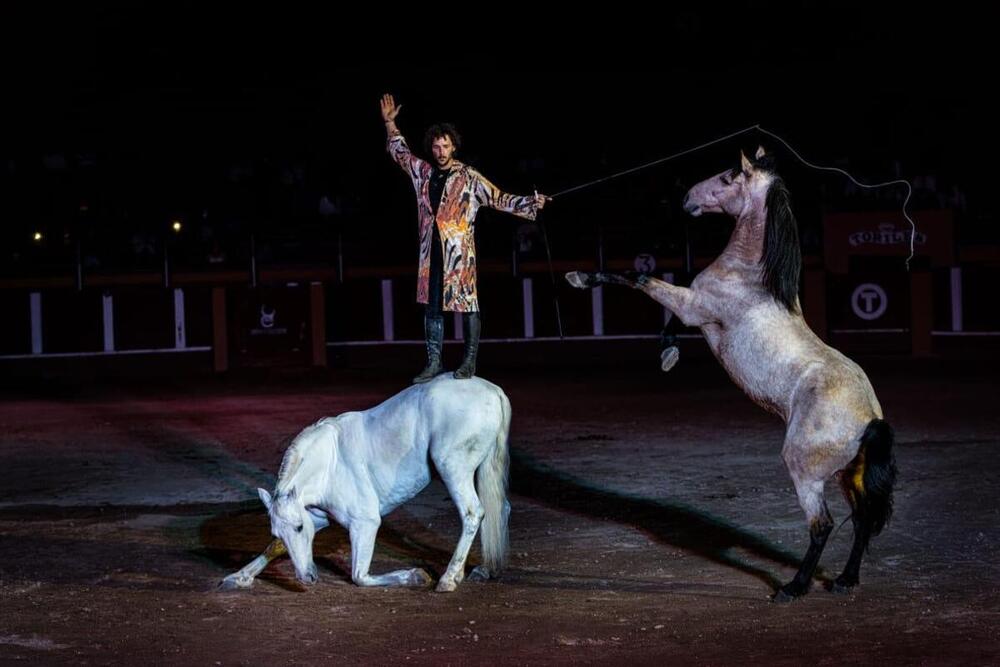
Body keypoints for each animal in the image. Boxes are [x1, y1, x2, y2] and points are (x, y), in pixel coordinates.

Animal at [568, 149, 904, 604]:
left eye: (728, 177)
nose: (687, 198)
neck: (749, 279)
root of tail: (870, 417)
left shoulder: (694, 305)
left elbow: (640, 279)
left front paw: (580, 277)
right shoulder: (696, 311)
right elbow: (668, 314)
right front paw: (668, 353)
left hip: (806, 472)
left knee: (823, 525)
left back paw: (793, 588)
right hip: (846, 473)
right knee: (863, 519)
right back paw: (844, 581)